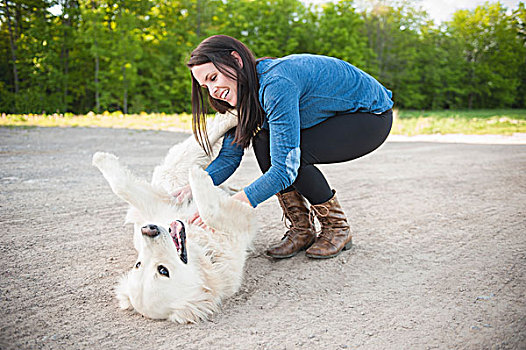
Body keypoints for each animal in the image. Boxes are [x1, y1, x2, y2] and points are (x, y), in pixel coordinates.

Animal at [94, 112, 260, 322]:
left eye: (137, 265)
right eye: (162, 270)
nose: (148, 229)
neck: (205, 252)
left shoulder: (158, 204)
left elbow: (121, 185)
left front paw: (100, 158)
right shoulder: (242, 224)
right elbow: (211, 210)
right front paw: (199, 178)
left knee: (207, 137)